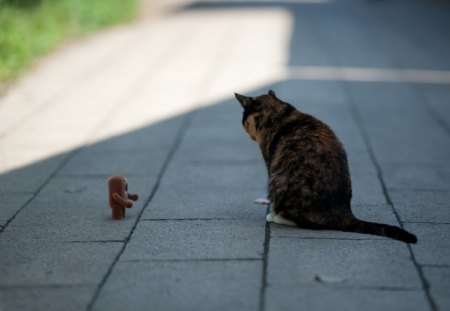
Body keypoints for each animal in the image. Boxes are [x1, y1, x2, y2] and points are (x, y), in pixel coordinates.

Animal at [236, 91, 418, 245]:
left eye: (244, 119)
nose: (243, 127)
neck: (280, 113)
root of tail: (343, 213)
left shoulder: (270, 162)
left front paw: (272, 214)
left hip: (278, 180)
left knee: (301, 220)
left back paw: (276, 217)